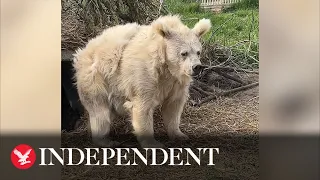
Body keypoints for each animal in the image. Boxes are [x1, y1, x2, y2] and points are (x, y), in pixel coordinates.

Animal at [73, 14, 212, 148]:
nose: (197, 67)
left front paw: (179, 135)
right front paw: (153, 143)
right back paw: (106, 141)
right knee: (100, 111)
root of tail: (82, 52)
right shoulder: (145, 75)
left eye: (198, 52)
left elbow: (173, 106)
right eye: (184, 53)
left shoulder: (176, 83)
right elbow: (143, 107)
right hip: (97, 79)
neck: (166, 67)